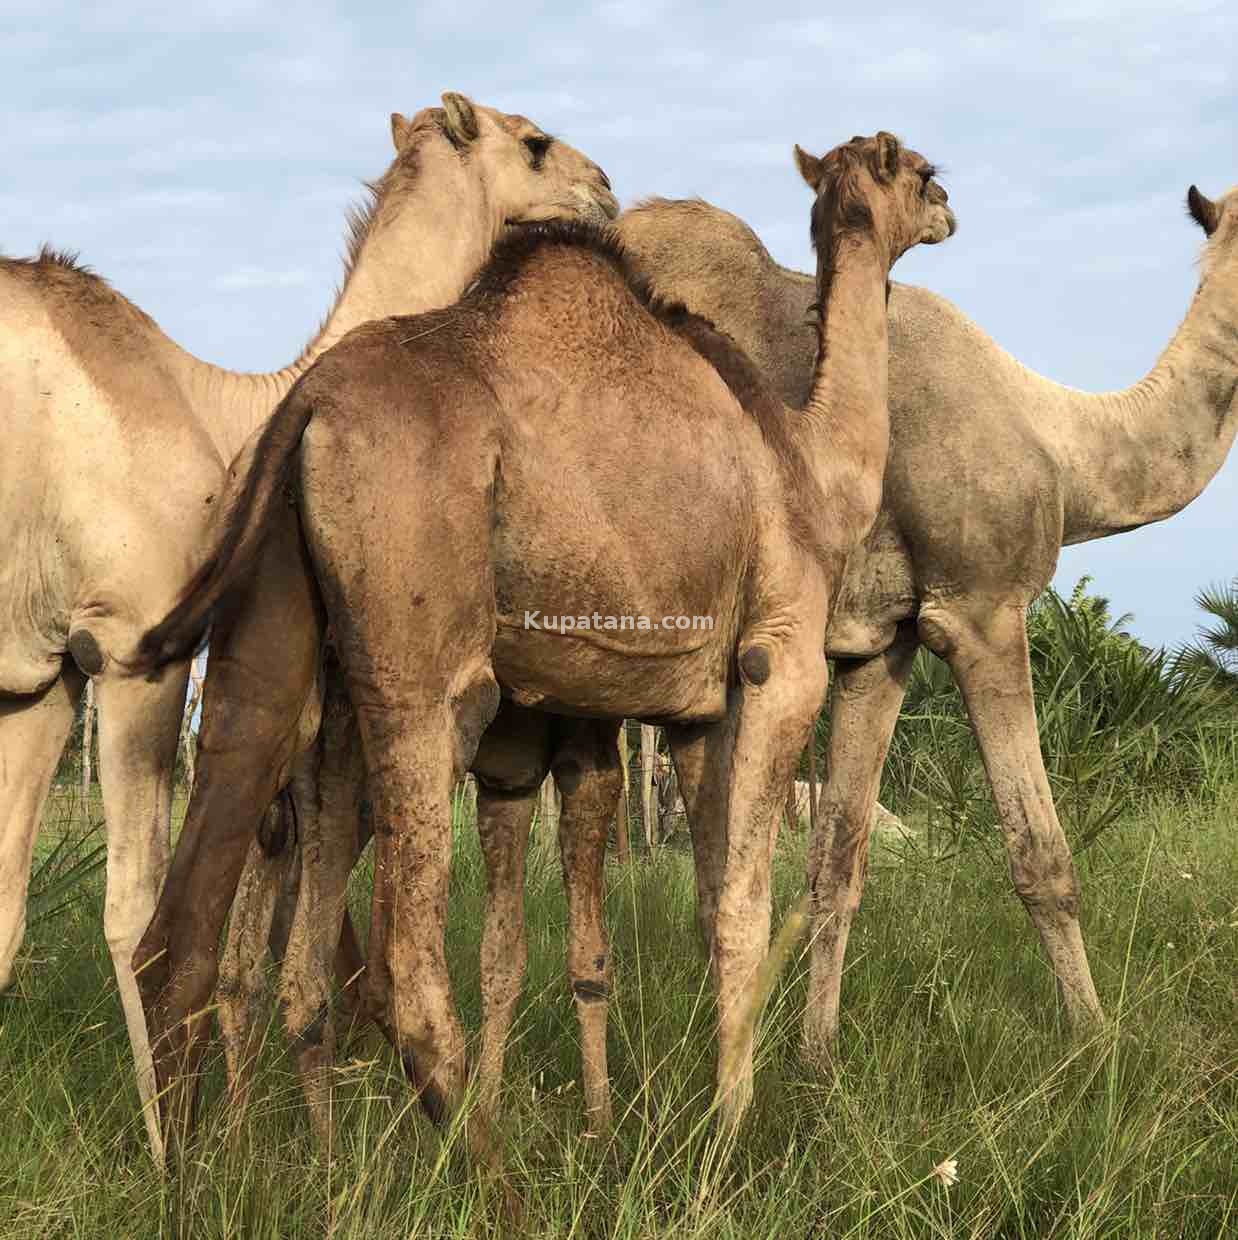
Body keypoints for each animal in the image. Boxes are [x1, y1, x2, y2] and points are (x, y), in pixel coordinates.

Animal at [0, 92, 616, 1164]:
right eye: (533, 139)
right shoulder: (134, 648)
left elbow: (6, 911)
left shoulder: (40, 679)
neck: (224, 412)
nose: (606, 188)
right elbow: (133, 916)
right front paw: (170, 1149)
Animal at [132, 132, 955, 1150]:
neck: (816, 476)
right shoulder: (781, 659)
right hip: (423, 653)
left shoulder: (695, 709)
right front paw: (734, 1137)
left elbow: (709, 900)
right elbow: (746, 908)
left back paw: (223, 1162)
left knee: (204, 915)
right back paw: (486, 1170)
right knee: (403, 961)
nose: (951, 209)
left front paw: (699, 1113)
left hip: (275, 629)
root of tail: (305, 406)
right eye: (921, 172)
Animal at [616, 181, 1238, 1058]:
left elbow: (837, 861)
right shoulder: (980, 606)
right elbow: (1042, 856)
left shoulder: (883, 641)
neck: (1060, 447)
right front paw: (1095, 1045)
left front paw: (817, 1056)